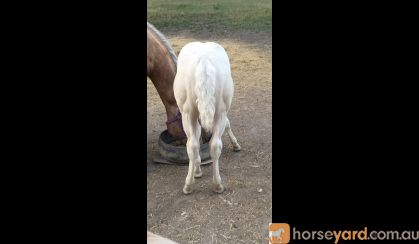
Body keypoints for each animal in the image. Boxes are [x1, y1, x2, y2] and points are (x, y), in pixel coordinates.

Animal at [174, 41, 241, 194]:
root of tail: (204, 60)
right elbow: (227, 123)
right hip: (218, 112)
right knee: (213, 145)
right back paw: (216, 184)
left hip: (188, 114)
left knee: (193, 145)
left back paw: (189, 185)